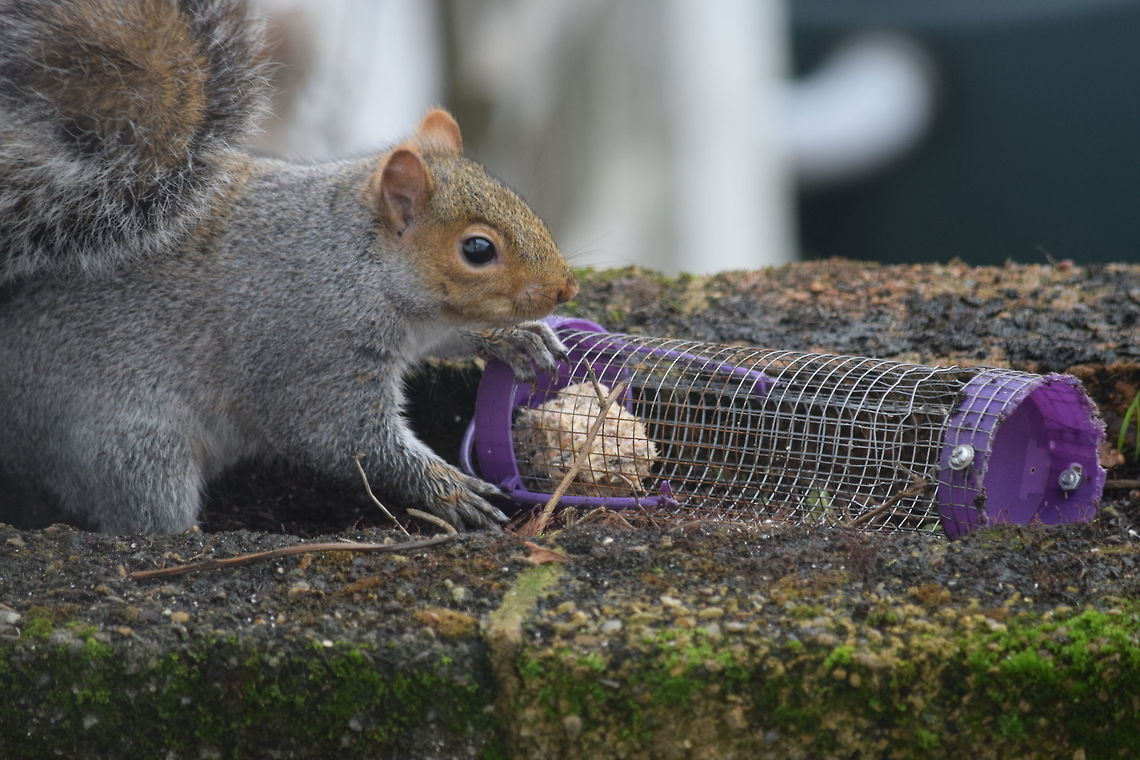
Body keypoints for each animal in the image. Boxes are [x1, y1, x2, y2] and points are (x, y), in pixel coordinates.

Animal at [0, 0, 578, 534]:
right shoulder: (313, 350)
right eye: (477, 250)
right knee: (142, 505)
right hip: (129, 446)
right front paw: (448, 490)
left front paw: (518, 338)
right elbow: (339, 436)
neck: (359, 264)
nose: (565, 290)